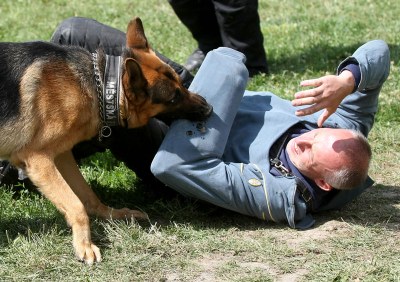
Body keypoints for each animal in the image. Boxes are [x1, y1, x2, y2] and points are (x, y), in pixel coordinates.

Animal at [0, 17, 212, 264]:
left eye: (181, 83)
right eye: (173, 98)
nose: (209, 108)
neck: (100, 84)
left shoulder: (61, 156)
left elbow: (87, 195)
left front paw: (112, 215)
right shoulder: (39, 160)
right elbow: (76, 205)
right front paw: (84, 245)